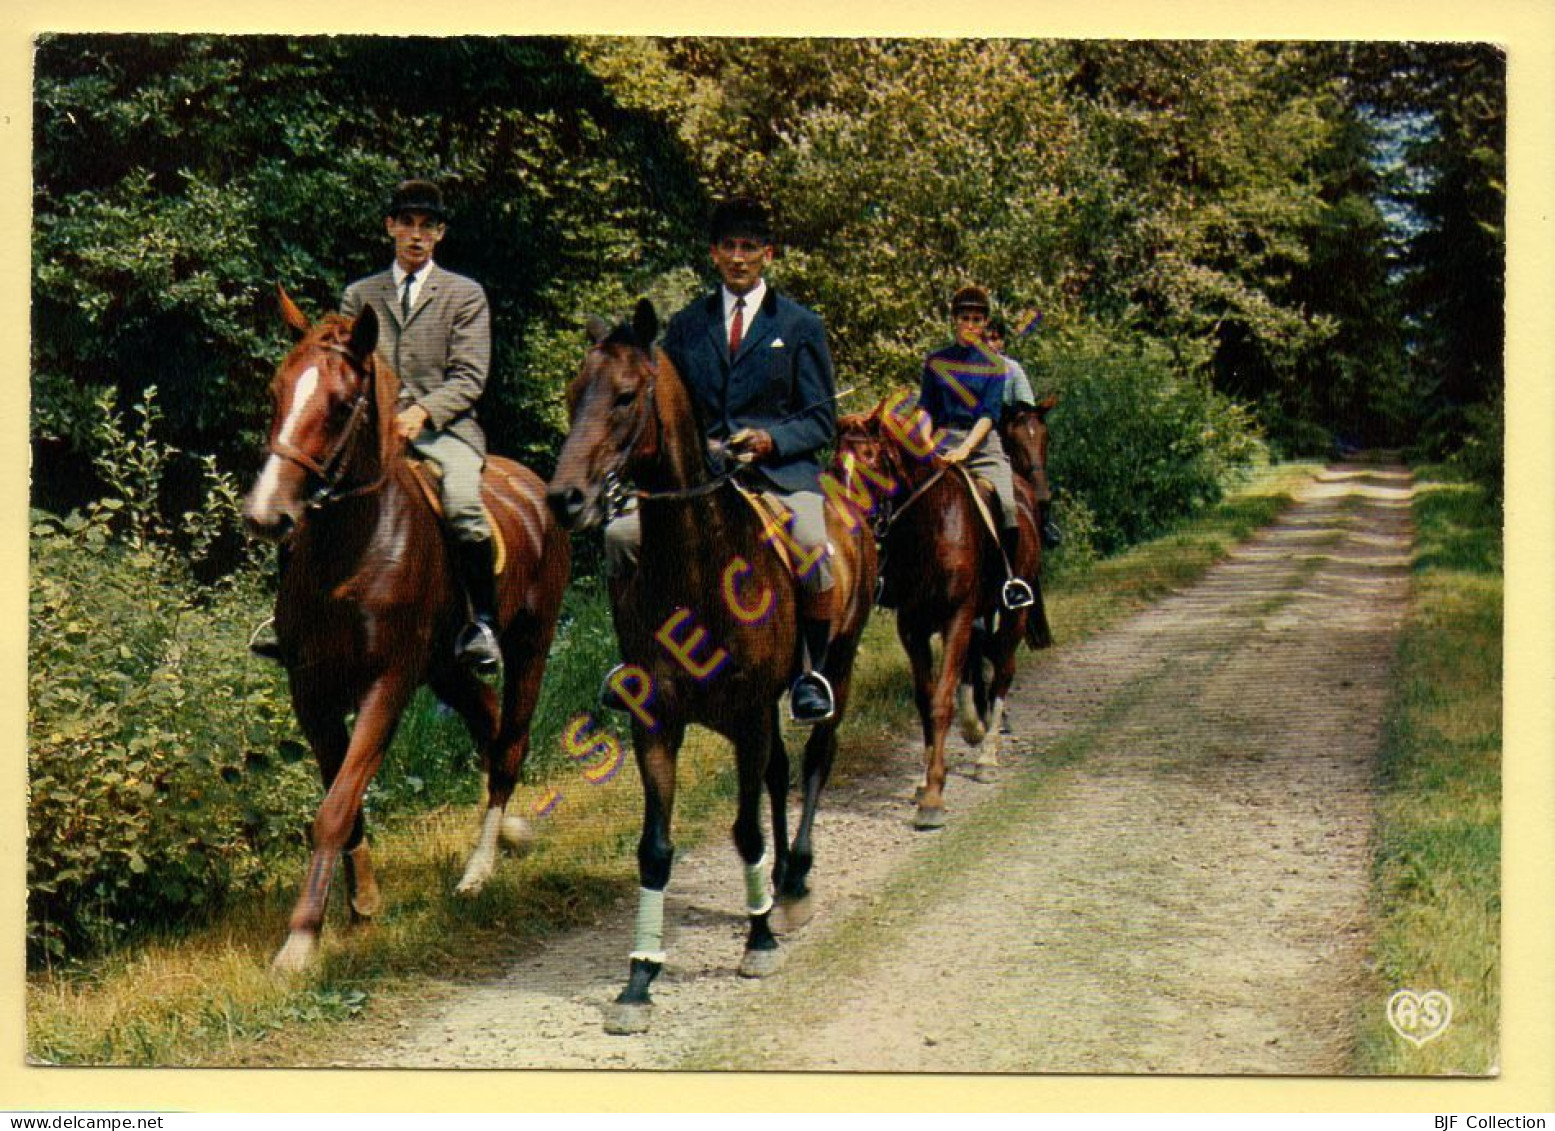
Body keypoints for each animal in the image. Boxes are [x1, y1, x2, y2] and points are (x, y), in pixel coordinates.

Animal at [245, 292, 575, 970]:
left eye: (340, 404)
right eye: (276, 392)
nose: (266, 516)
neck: (349, 550)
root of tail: (531, 485)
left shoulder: (388, 685)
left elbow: (336, 806)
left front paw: (301, 940)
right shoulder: (310, 691)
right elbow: (342, 802)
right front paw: (362, 904)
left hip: (530, 644)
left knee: (509, 745)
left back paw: (479, 870)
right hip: (448, 670)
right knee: (488, 724)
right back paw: (510, 837)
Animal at [547, 300, 877, 1032]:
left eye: (625, 396)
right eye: (573, 394)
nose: (566, 499)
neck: (694, 563)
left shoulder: (748, 715)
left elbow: (744, 828)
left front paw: (758, 943)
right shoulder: (655, 722)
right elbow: (655, 848)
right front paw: (640, 978)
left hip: (834, 667)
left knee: (817, 757)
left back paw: (795, 880)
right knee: (781, 771)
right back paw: (779, 887)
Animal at [839, 401, 1044, 833]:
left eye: (871, 459)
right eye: (835, 463)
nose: (851, 521)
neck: (931, 527)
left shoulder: (956, 618)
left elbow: (941, 701)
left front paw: (933, 797)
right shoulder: (911, 627)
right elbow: (925, 699)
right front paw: (924, 781)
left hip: (1011, 616)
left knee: (1003, 673)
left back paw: (986, 756)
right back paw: (974, 731)